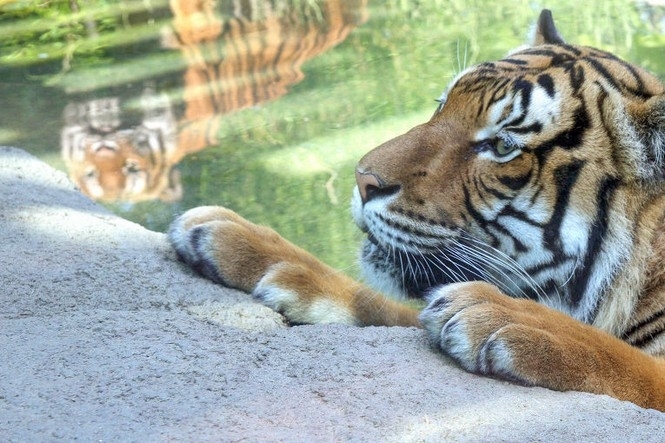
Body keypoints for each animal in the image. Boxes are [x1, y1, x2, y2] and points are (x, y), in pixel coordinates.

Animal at [166, 9, 664, 412]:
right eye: (442, 104)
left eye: (503, 145)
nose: (362, 179)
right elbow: (376, 301)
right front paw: (237, 237)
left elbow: (625, 360)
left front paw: (504, 316)